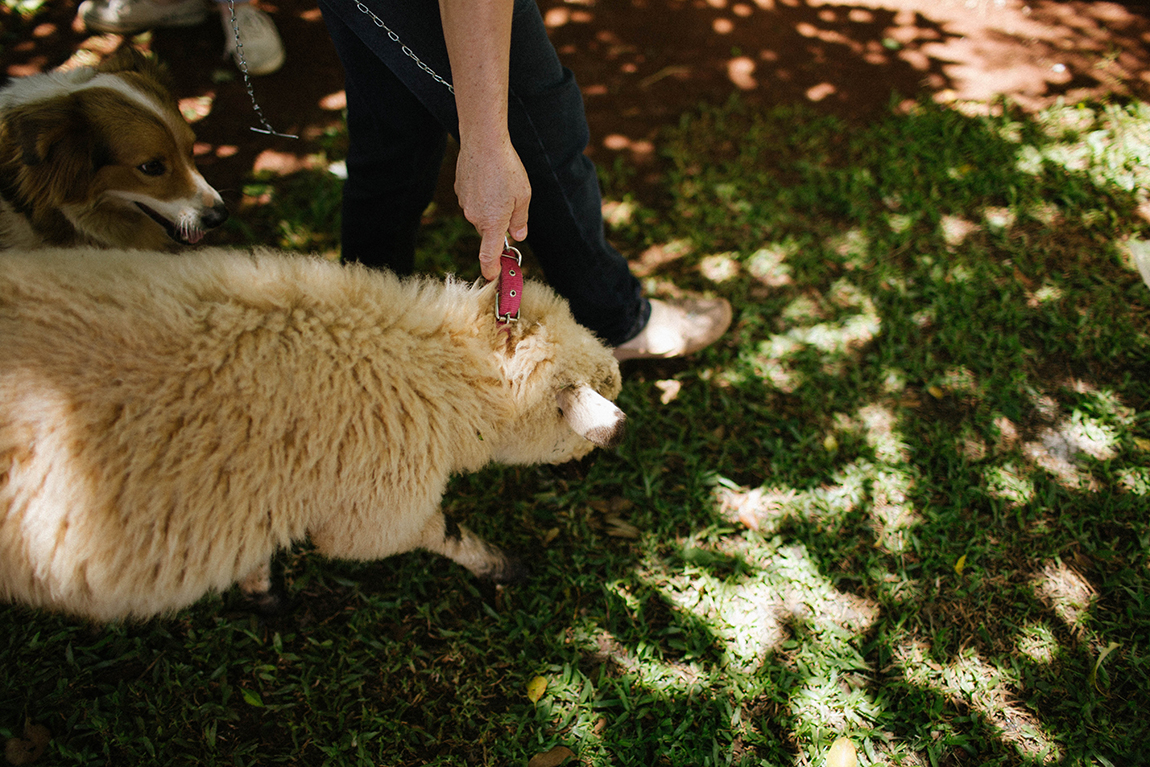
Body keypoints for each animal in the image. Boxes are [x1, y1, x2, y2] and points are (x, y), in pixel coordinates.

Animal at [0, 249, 625, 620]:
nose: (611, 442)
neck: (432, 367)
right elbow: (441, 531)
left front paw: (261, 590)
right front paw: (500, 566)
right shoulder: (375, 508)